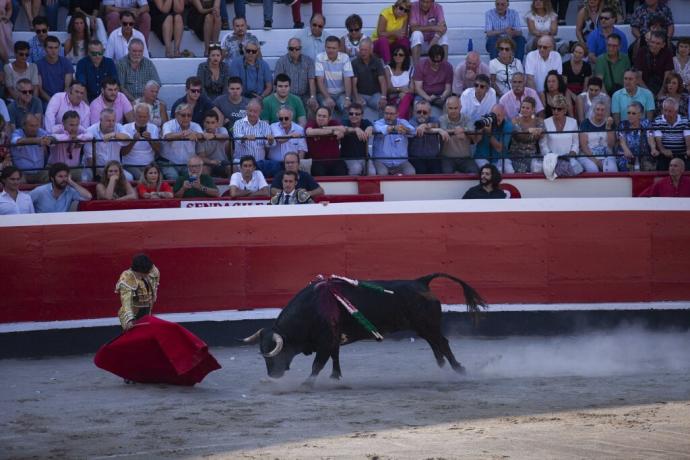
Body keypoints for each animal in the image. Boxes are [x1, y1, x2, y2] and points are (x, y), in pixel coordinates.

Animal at [242, 274, 484, 380]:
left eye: (276, 353)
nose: (273, 375)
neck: (311, 308)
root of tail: (421, 281)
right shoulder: (333, 339)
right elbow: (335, 357)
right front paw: (336, 377)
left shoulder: (325, 341)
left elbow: (317, 364)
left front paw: (307, 384)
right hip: (423, 327)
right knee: (435, 343)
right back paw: (442, 366)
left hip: (428, 325)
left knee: (442, 342)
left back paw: (459, 369)